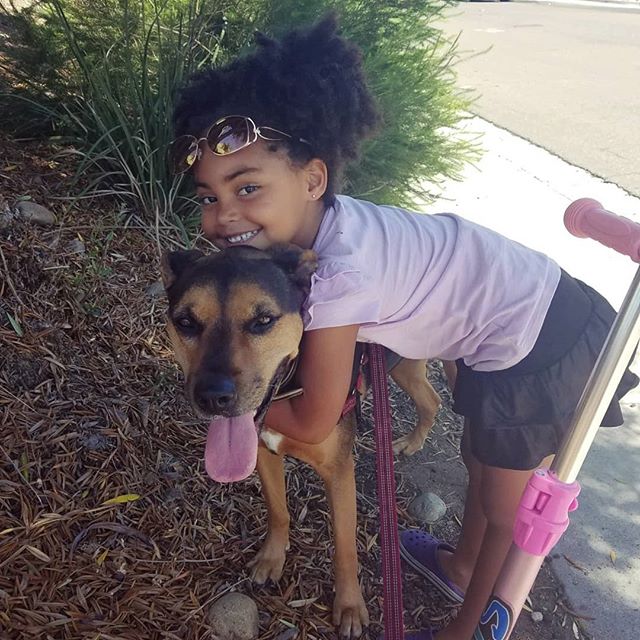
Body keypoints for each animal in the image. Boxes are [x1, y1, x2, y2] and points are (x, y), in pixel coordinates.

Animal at [160, 244, 450, 636]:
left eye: (263, 320)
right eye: (186, 322)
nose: (212, 397)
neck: (289, 388)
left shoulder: (339, 472)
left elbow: (345, 546)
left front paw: (349, 606)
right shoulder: (264, 452)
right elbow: (278, 510)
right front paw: (272, 559)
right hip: (405, 363)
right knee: (431, 399)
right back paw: (411, 441)